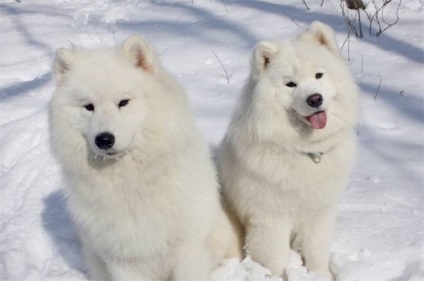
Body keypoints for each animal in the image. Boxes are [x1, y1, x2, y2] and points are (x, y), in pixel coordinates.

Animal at [48, 36, 238, 280]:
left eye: (123, 102)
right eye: (88, 107)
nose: (104, 139)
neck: (131, 182)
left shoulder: (189, 249)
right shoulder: (124, 260)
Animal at [217, 20, 360, 278]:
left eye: (319, 75)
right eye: (290, 84)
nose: (315, 99)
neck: (305, 151)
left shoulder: (320, 213)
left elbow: (317, 252)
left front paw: (321, 276)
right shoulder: (270, 219)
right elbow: (274, 259)